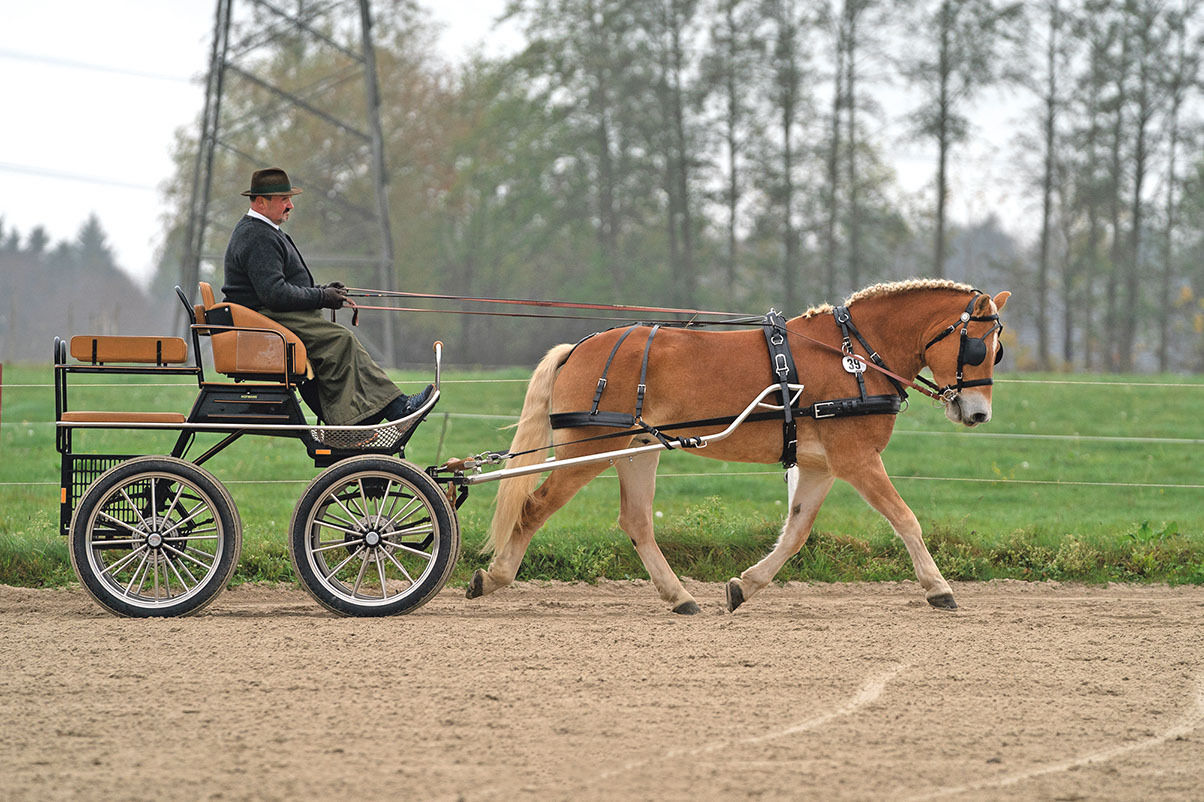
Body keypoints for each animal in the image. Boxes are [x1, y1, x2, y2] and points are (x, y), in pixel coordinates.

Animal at [464, 276, 1011, 611]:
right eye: (978, 347)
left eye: (997, 350)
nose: (978, 413)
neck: (853, 354)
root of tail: (579, 348)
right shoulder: (856, 459)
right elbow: (905, 519)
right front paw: (938, 589)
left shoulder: (821, 465)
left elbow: (795, 534)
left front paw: (745, 585)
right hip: (588, 449)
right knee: (534, 508)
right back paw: (494, 577)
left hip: (636, 450)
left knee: (637, 521)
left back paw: (680, 597)